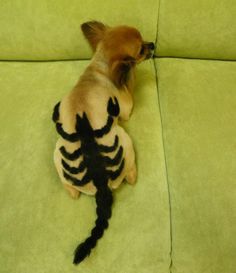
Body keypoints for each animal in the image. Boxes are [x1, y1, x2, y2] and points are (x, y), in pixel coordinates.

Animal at [52, 21, 154, 264]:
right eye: (141, 50)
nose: (153, 44)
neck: (100, 69)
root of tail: (101, 185)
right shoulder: (125, 110)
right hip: (125, 138)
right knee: (131, 174)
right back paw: (133, 173)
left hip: (57, 152)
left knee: (70, 189)